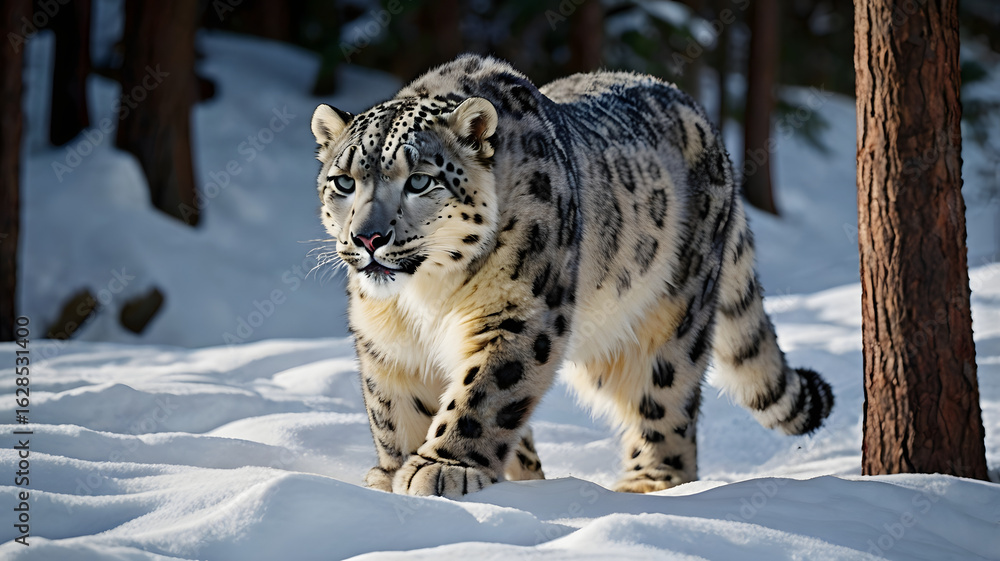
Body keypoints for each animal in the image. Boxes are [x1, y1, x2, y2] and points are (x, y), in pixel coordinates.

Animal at [309, 54, 834, 498]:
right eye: (344, 181)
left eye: (419, 180)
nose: (367, 237)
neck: (425, 296)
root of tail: (705, 122)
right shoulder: (383, 336)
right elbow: (393, 405)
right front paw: (393, 472)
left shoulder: (520, 313)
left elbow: (486, 392)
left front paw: (443, 467)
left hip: (670, 320)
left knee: (664, 399)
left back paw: (649, 483)